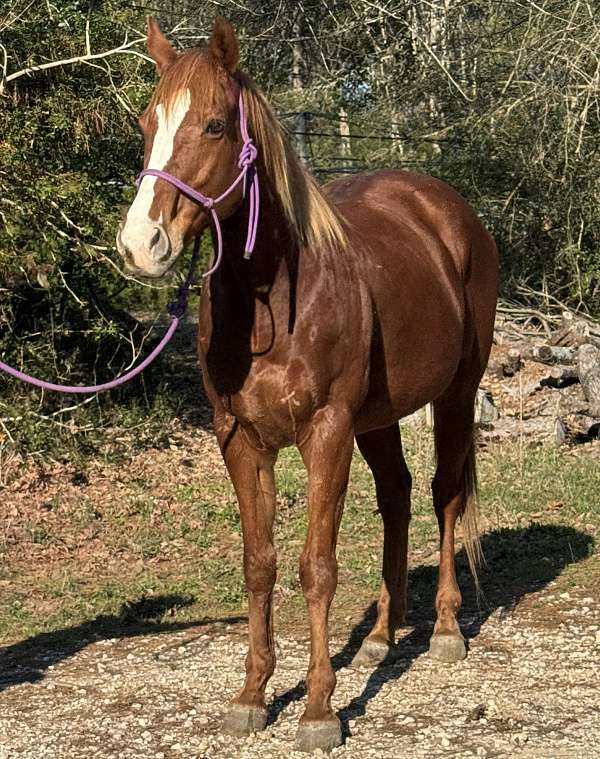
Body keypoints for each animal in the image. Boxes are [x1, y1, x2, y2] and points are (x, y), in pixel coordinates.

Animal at [116, 16, 499, 753]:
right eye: (148, 122)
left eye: (213, 125)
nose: (140, 245)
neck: (276, 303)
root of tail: (446, 209)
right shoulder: (239, 439)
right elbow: (259, 563)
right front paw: (252, 695)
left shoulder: (326, 432)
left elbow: (316, 566)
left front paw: (320, 708)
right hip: (378, 418)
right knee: (398, 495)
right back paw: (381, 635)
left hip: (455, 394)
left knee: (442, 496)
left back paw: (443, 629)